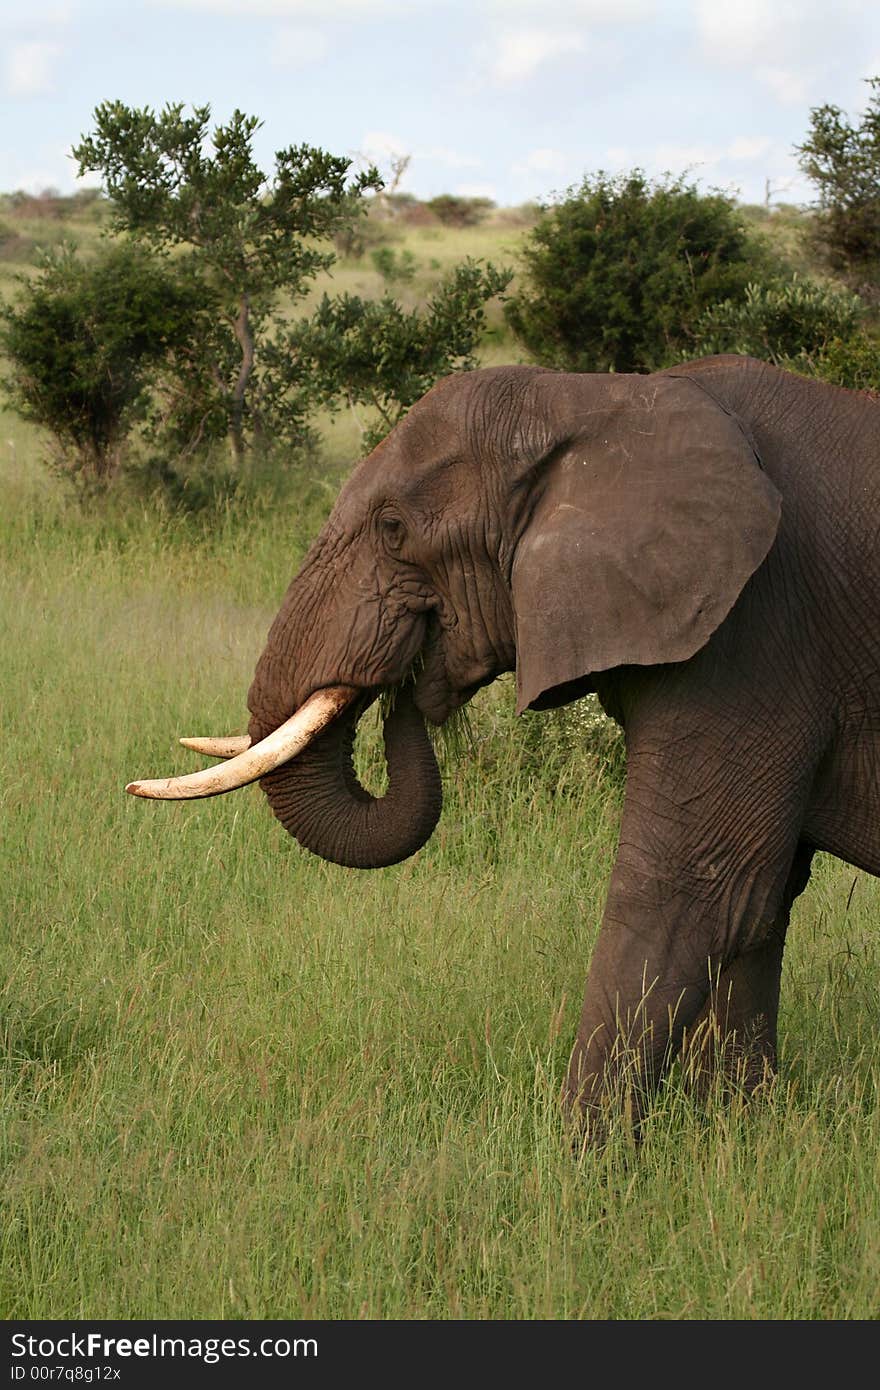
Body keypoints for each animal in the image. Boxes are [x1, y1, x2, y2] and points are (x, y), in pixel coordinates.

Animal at [128, 353, 878, 1134]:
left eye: (393, 527)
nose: (411, 675)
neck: (594, 397)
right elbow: (763, 899)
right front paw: (741, 1135)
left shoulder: (753, 631)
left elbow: (691, 890)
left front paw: (582, 1155)